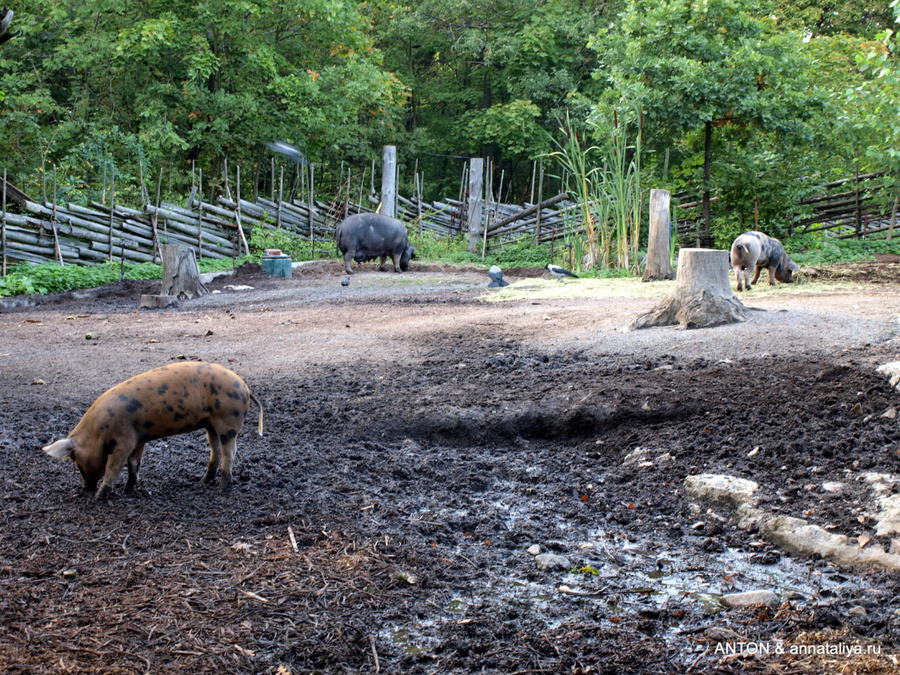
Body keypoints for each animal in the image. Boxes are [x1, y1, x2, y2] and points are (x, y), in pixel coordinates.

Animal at [44, 362, 262, 500]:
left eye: (76, 461)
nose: (85, 488)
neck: (97, 431)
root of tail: (245, 387)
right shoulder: (139, 439)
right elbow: (134, 464)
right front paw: (128, 491)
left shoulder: (123, 441)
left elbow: (114, 467)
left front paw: (99, 498)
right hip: (210, 424)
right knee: (215, 451)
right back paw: (202, 482)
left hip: (228, 420)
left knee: (230, 453)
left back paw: (221, 490)